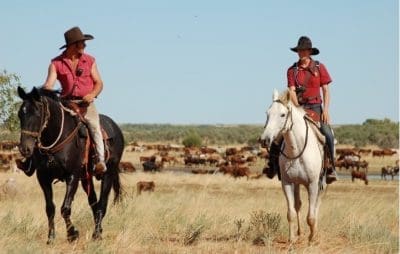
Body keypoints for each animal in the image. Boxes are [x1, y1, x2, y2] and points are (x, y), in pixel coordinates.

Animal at [17, 86, 123, 243]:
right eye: (20, 114)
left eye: (37, 113)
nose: (25, 149)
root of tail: (116, 128)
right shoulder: (43, 178)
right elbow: (50, 208)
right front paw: (51, 238)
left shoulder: (72, 176)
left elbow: (65, 208)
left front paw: (72, 234)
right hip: (86, 178)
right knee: (94, 202)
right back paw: (99, 230)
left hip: (108, 174)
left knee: (102, 205)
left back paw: (96, 235)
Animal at [260, 90, 324, 243]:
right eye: (267, 113)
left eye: (283, 114)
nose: (264, 140)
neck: (297, 150)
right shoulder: (287, 183)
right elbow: (291, 212)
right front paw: (292, 238)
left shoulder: (313, 184)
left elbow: (311, 215)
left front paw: (312, 238)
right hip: (297, 183)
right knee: (298, 204)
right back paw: (300, 232)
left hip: (320, 183)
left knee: (316, 205)